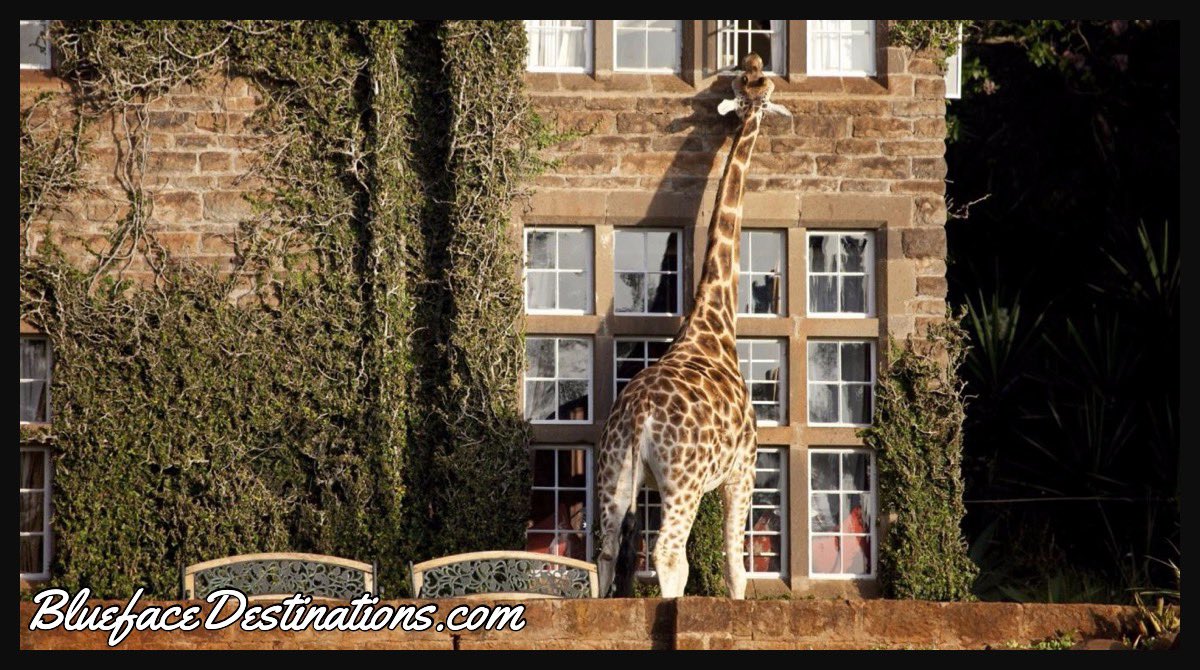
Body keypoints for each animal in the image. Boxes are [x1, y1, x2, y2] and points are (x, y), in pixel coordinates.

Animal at [595, 53, 788, 599]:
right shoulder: (744, 467)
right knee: (669, 555)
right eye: (759, 90)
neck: (714, 322)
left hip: (615, 473)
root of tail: (638, 418)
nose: (756, 66)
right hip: (683, 480)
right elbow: (736, 564)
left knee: (606, 551)